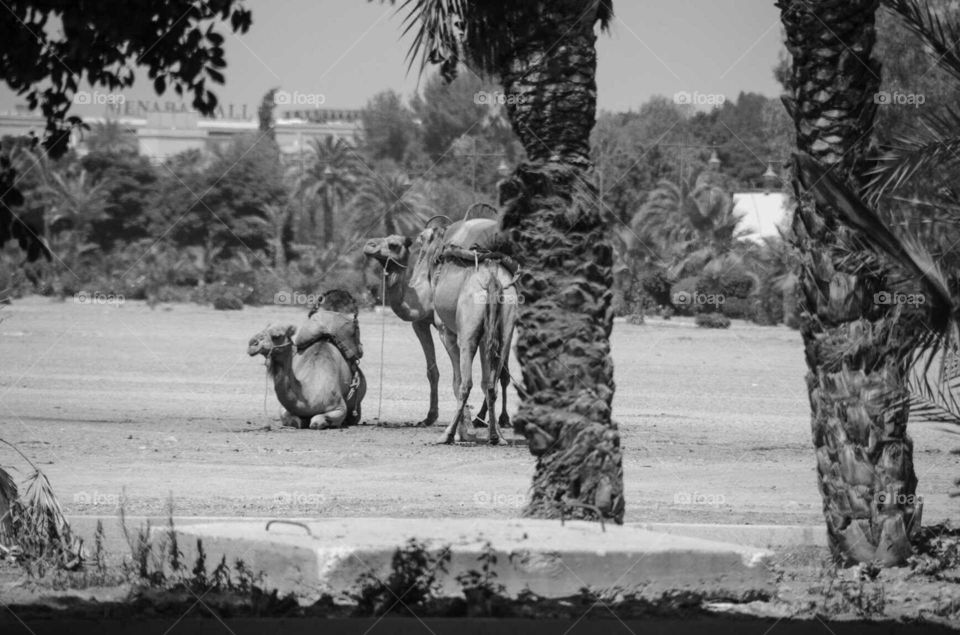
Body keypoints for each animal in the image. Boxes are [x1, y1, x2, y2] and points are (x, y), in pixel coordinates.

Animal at [363, 218, 511, 429]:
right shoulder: (420, 323)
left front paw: (463, 421)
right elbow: (432, 371)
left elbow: (459, 377)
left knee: (500, 371)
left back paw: (498, 418)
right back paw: (486, 417)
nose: (369, 245)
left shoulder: (446, 329)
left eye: (393, 245)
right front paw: (430, 416)